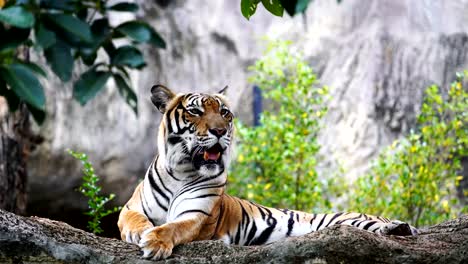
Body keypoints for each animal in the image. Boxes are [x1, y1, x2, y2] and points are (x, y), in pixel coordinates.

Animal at [117, 85, 416, 260]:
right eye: (196, 111)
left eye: (225, 113)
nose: (220, 131)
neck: (180, 171)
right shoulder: (131, 207)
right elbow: (134, 220)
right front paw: (141, 233)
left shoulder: (196, 216)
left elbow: (173, 227)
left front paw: (155, 241)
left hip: (350, 220)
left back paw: (399, 227)